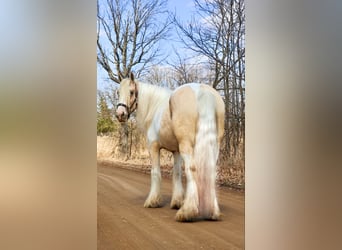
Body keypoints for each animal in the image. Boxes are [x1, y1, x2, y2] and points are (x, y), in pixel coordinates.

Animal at [116, 72, 226, 221]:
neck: (154, 107)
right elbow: (177, 173)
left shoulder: (154, 147)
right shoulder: (176, 151)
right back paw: (212, 212)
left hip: (187, 145)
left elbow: (155, 172)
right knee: (211, 172)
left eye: (132, 92)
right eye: (118, 92)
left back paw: (187, 212)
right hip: (214, 146)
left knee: (192, 170)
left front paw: (153, 201)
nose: (120, 114)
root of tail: (203, 91)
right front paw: (177, 202)